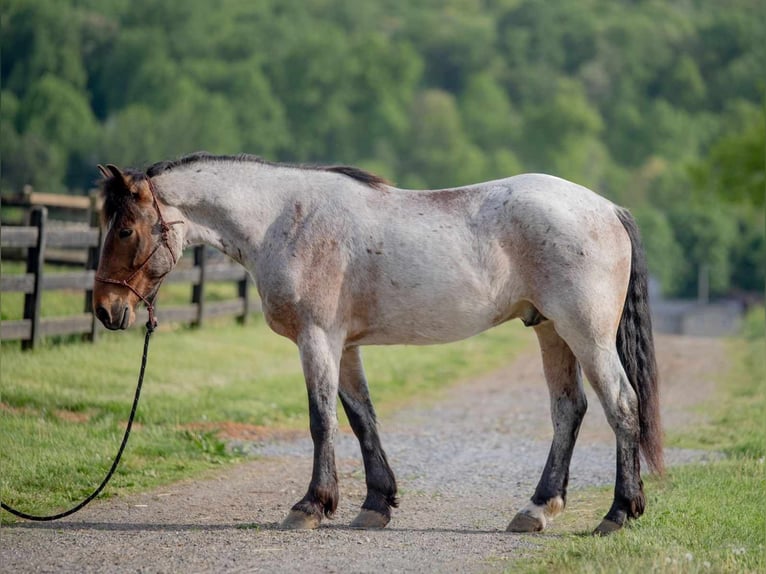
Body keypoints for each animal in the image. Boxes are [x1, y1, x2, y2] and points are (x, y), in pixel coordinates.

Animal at [93, 152, 664, 536]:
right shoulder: (344, 346)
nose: (105, 309)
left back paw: (619, 512)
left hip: (585, 334)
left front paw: (311, 505)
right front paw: (375, 504)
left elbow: (321, 419)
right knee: (569, 410)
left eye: (124, 230)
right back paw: (537, 509)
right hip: (550, 331)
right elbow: (360, 416)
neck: (286, 219)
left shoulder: (317, 339)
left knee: (621, 405)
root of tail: (606, 208)